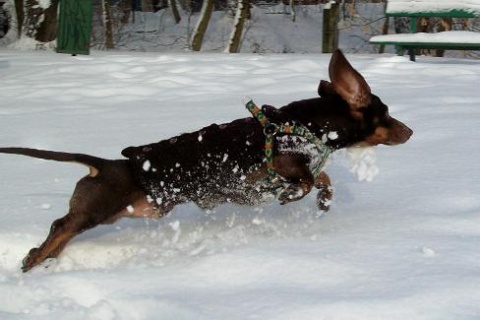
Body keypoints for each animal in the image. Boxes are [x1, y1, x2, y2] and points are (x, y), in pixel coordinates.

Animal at [0, 50, 412, 272]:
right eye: (387, 113)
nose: (410, 131)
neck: (308, 127)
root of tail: (106, 163)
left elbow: (322, 178)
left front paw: (325, 201)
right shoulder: (275, 165)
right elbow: (306, 179)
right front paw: (292, 196)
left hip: (131, 210)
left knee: (62, 228)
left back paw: (42, 258)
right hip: (98, 209)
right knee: (59, 226)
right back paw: (35, 259)